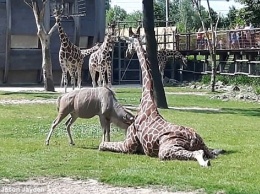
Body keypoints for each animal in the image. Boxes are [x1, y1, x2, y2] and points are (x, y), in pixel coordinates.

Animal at [98, 36, 224, 167]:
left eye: (128, 43)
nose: (126, 54)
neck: (145, 103)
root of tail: (193, 137)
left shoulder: (128, 145)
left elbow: (102, 144)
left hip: (167, 149)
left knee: (198, 152)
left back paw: (205, 163)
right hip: (202, 143)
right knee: (212, 153)